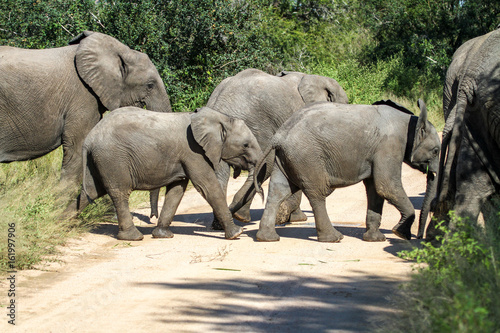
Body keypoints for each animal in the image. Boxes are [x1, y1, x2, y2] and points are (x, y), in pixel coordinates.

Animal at [81, 106, 262, 239]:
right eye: (245, 145)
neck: (219, 118)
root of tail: (89, 138)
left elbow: (177, 190)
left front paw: (162, 235)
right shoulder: (193, 151)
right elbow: (208, 187)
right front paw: (237, 233)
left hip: (100, 160)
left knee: (90, 192)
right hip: (113, 158)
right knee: (120, 193)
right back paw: (133, 237)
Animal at [197, 68, 346, 228]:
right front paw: (293, 218)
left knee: (220, 173)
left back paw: (222, 222)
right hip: (256, 125)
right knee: (264, 164)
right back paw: (240, 216)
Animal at [256, 98, 440, 241]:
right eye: (436, 151)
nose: (419, 237)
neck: (411, 120)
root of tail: (279, 135)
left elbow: (375, 190)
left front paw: (375, 239)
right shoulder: (389, 145)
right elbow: (386, 186)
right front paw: (400, 234)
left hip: (287, 157)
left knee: (278, 192)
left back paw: (267, 238)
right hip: (306, 155)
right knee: (317, 193)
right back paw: (333, 238)